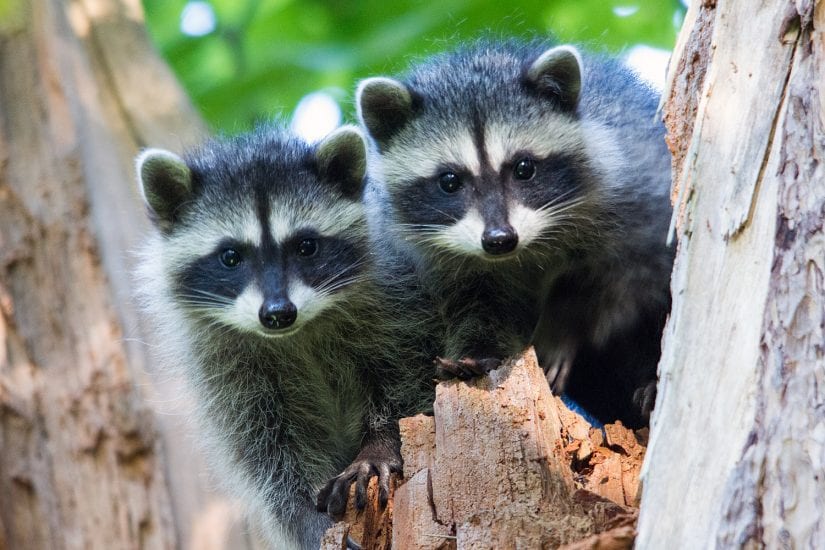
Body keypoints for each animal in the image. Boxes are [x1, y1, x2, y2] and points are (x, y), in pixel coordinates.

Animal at [133, 126, 434, 550]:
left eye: (305, 246)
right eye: (230, 257)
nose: (278, 313)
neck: (295, 333)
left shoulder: (395, 300)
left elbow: (403, 375)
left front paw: (380, 441)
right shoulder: (224, 369)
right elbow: (266, 454)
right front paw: (306, 518)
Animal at [358, 41, 672, 430]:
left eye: (524, 168)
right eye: (449, 181)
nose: (499, 239)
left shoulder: (633, 190)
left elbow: (616, 279)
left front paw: (561, 325)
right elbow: (476, 304)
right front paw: (479, 349)